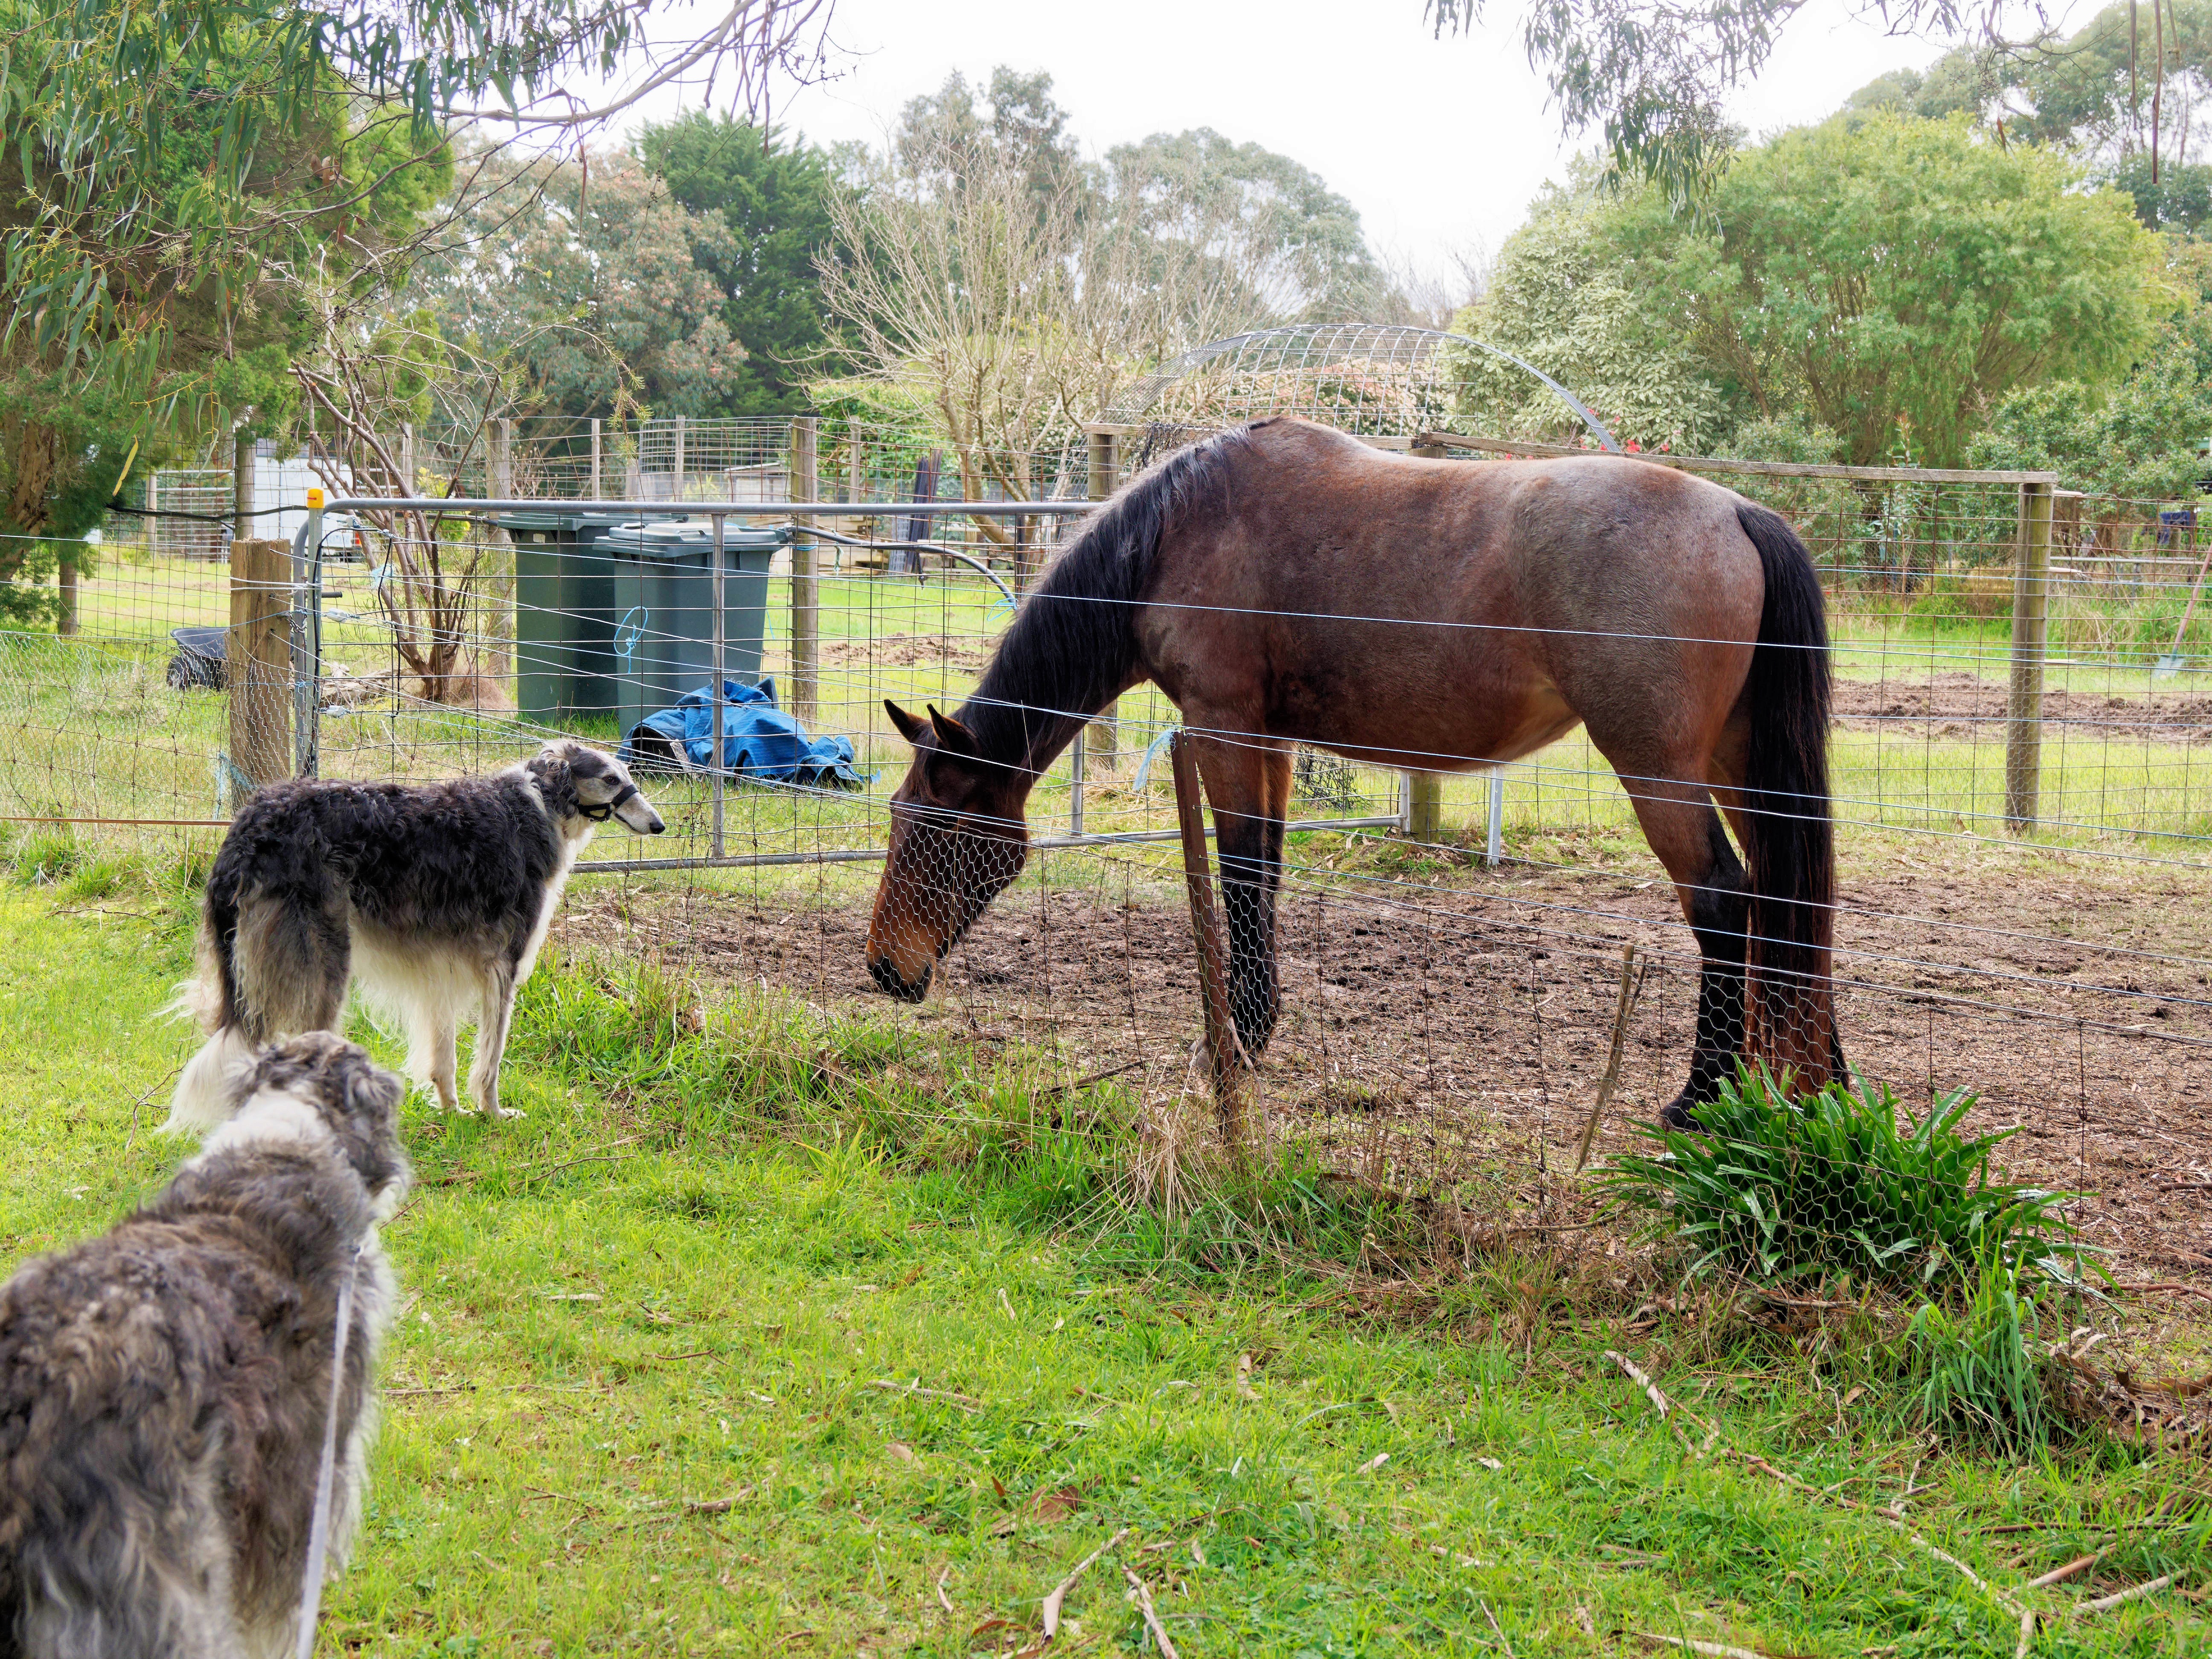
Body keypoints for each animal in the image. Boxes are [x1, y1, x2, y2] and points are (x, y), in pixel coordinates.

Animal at [866, 417, 1841, 1126]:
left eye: (937, 825)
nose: (883, 969)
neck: (1177, 532)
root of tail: (1739, 514)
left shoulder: (1223, 725)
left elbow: (1241, 869)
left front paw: (1232, 1043)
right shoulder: (1269, 741)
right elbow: (1264, 869)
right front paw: (1253, 1031)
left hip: (1661, 772)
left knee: (1725, 903)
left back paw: (1700, 1098)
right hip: (1737, 766)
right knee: (1791, 906)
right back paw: (1814, 1085)